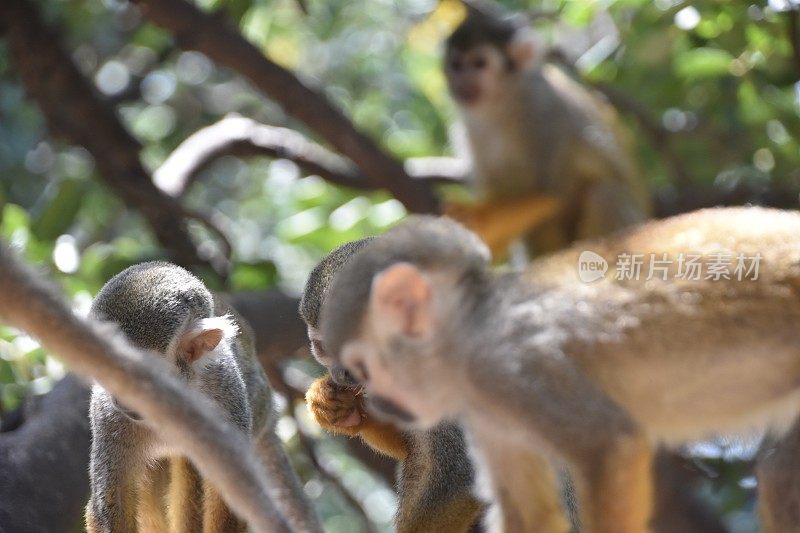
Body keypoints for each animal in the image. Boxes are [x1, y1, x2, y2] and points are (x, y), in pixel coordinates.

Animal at [86, 262, 280, 532]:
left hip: (258, 404)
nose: (121, 399)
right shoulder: (106, 414)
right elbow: (112, 498)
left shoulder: (224, 398)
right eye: (107, 367)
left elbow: (231, 491)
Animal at [440, 3, 652, 258]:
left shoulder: (544, 115)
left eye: (479, 63)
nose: (462, 82)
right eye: (456, 65)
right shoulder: (469, 129)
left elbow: (548, 193)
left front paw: (477, 219)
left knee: (605, 194)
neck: (503, 103)